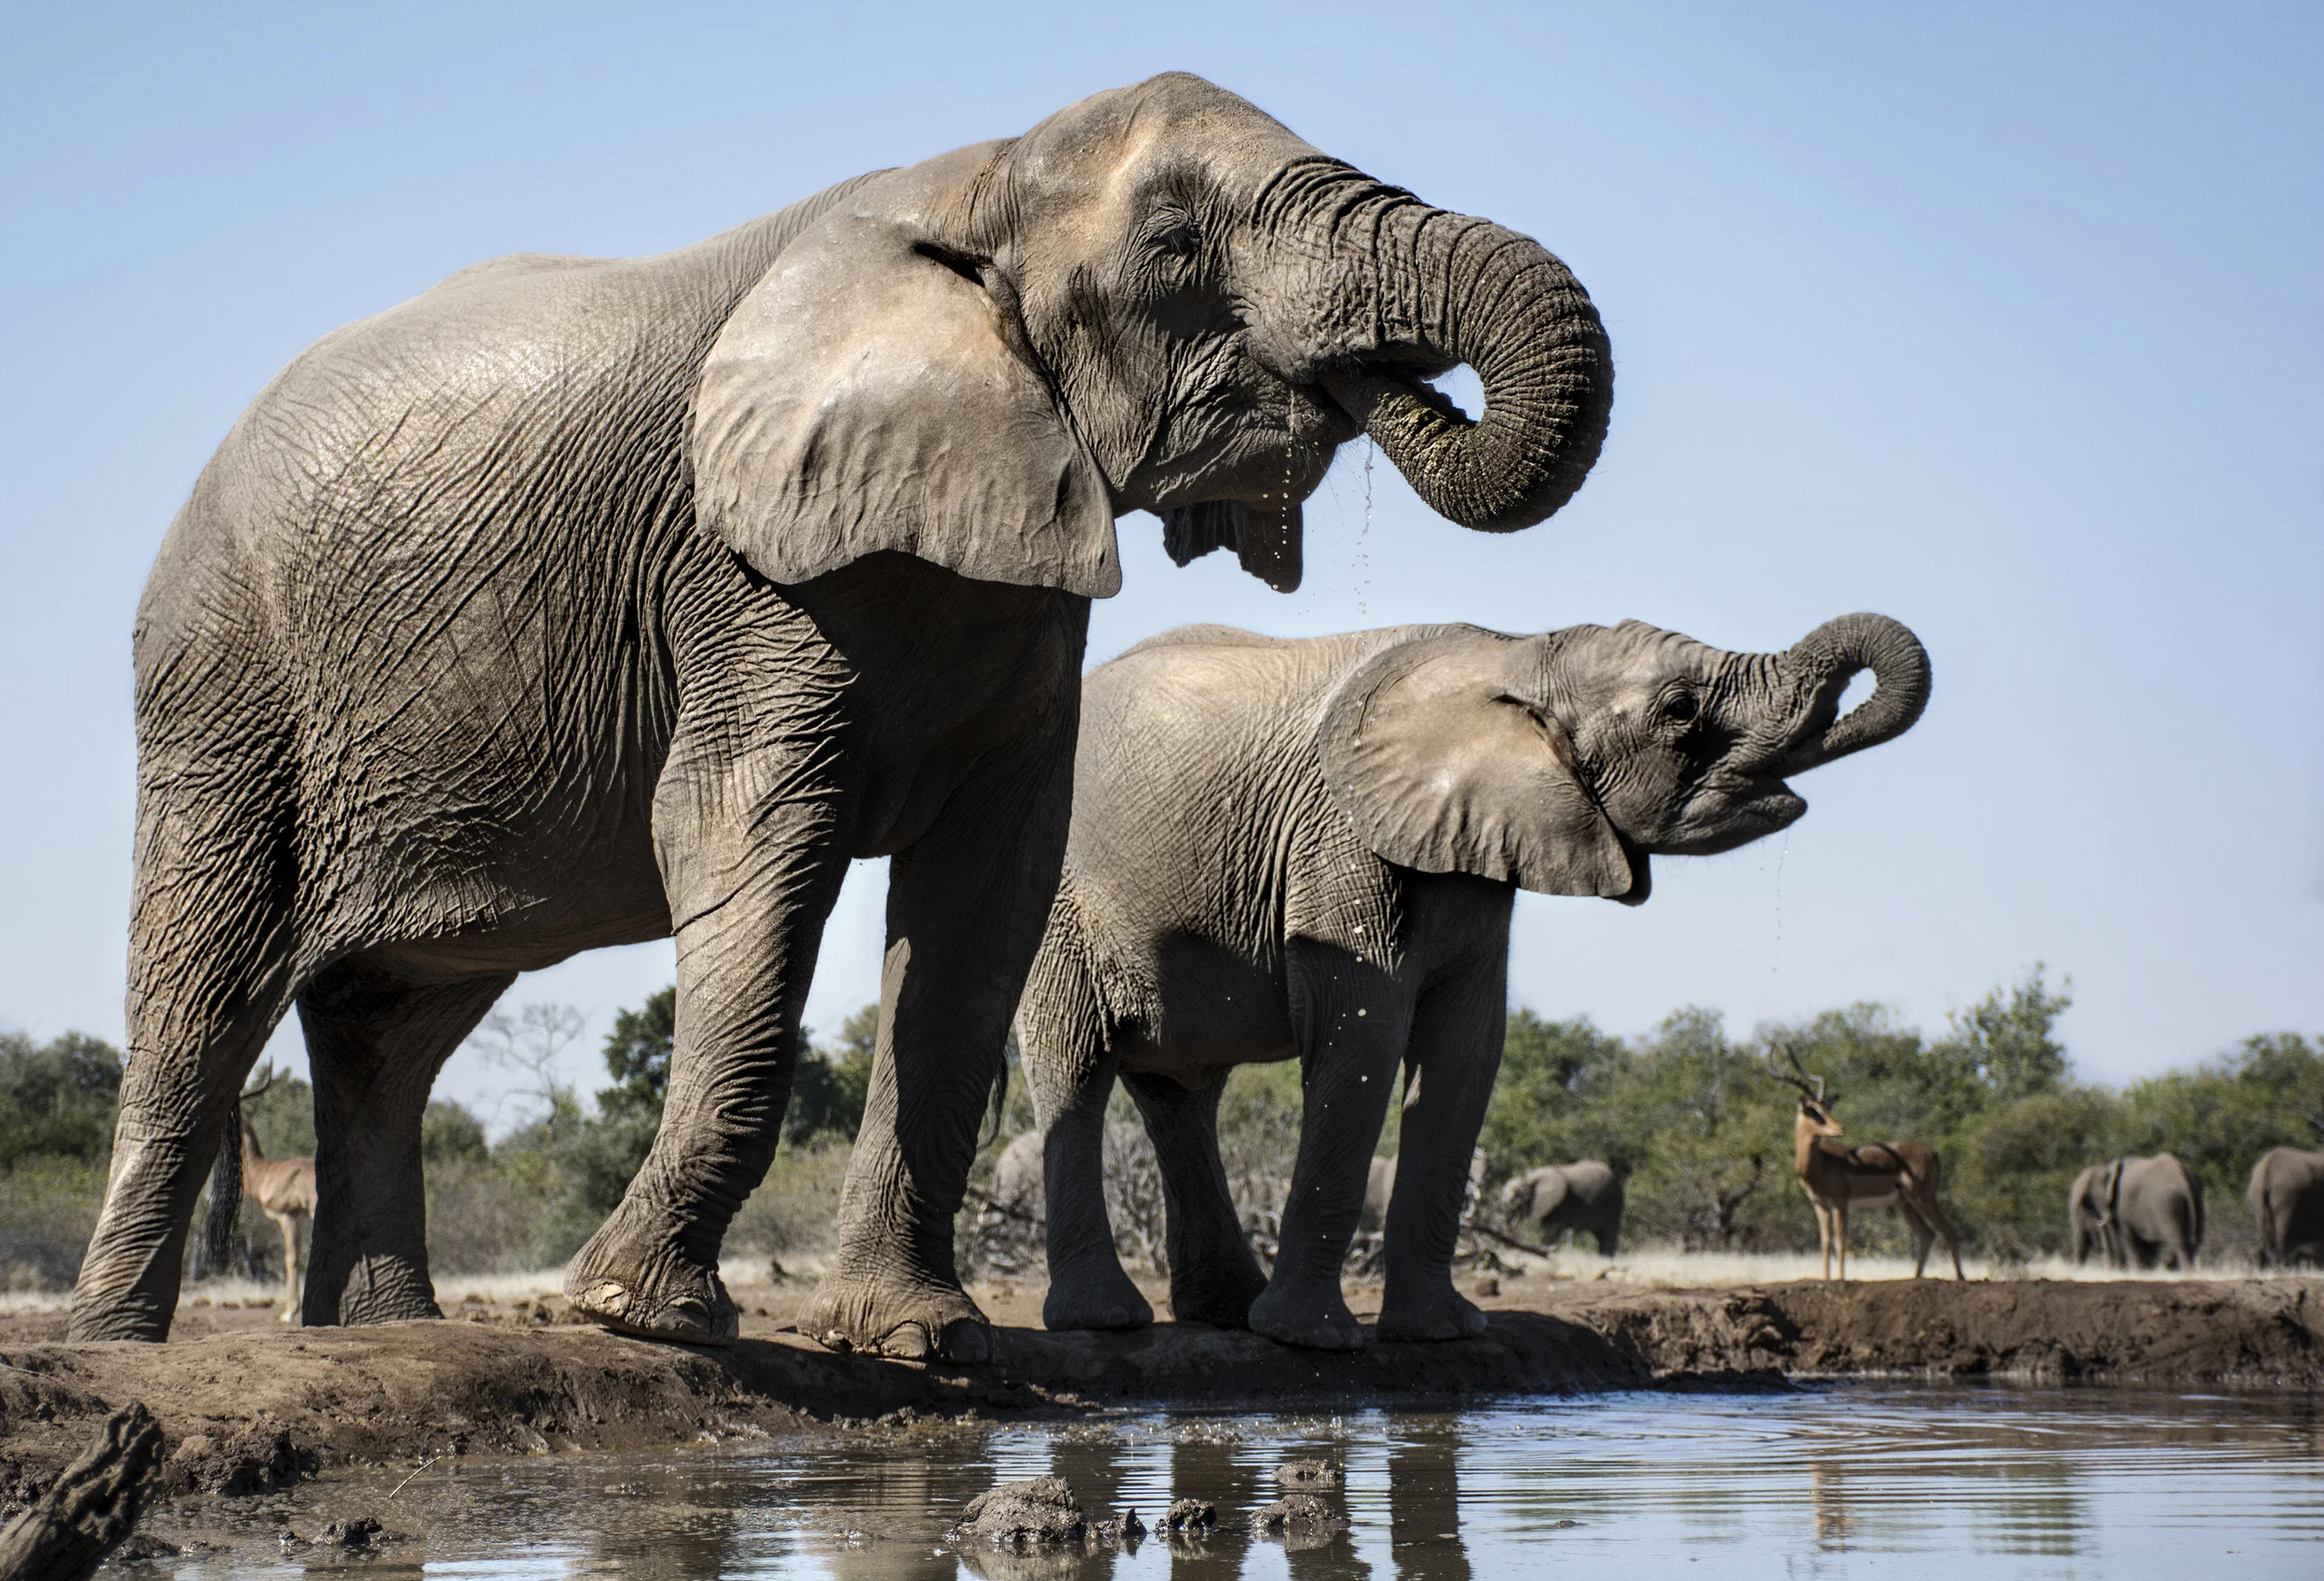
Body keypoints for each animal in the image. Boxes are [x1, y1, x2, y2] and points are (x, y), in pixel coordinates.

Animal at [1498, 1161, 1623, 1256]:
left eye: (1515, 1199)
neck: (1532, 1177)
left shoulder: (1560, 1203)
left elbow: (1550, 1231)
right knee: (1600, 1235)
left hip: (1614, 1203)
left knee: (1609, 1231)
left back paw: (1606, 1258)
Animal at [2068, 1155, 2203, 1270]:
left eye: (2097, 1199)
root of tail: (2183, 1181)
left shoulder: (2122, 1207)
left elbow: (2128, 1237)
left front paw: (2140, 1271)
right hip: (2196, 1200)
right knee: (2195, 1241)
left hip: (2167, 1205)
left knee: (2179, 1241)